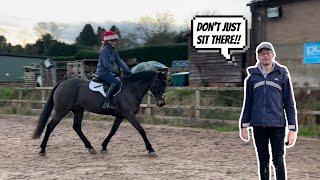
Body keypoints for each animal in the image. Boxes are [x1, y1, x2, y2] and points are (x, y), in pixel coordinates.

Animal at [31, 71, 168, 157]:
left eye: (165, 84)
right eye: (157, 83)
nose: (161, 103)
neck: (131, 89)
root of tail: (61, 84)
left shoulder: (120, 116)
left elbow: (112, 131)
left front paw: (103, 147)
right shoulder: (129, 115)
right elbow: (141, 130)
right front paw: (151, 150)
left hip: (78, 110)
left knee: (76, 127)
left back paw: (91, 148)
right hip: (61, 111)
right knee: (50, 126)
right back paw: (42, 149)